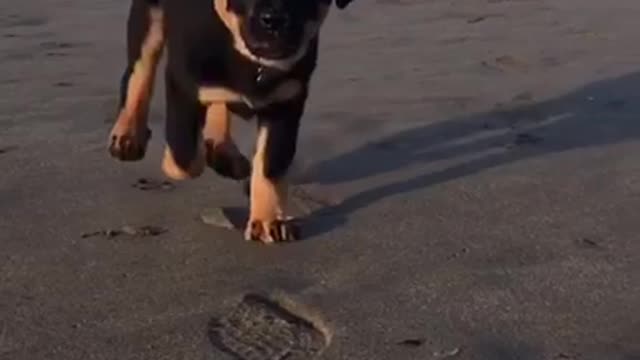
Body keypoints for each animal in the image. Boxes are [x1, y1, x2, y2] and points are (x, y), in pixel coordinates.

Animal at [108, 0, 358, 243]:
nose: (274, 20)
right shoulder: (183, 84)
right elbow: (184, 157)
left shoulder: (286, 102)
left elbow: (270, 163)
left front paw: (268, 220)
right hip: (150, 17)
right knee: (139, 72)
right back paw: (128, 136)